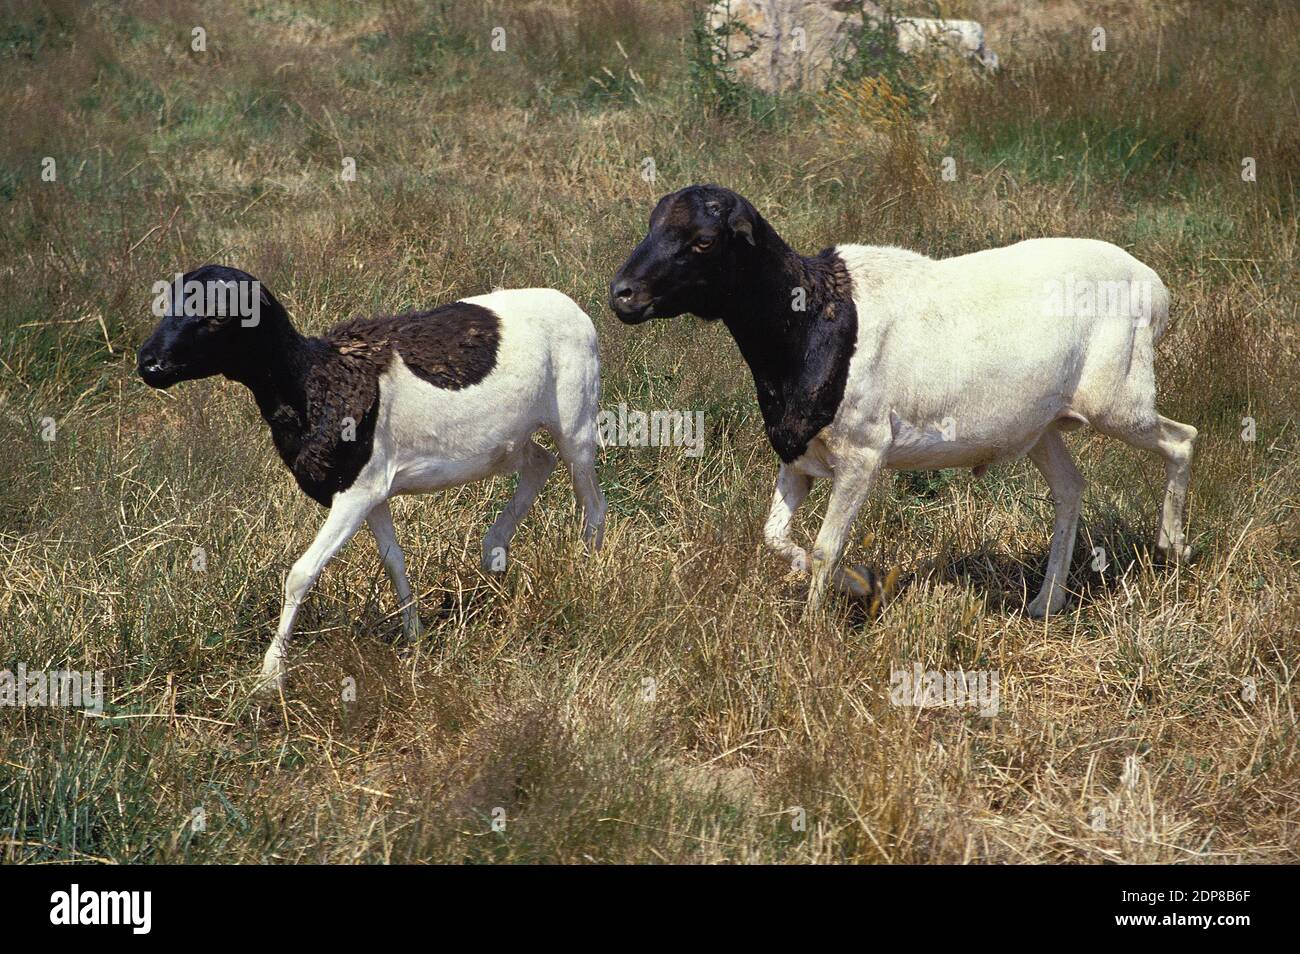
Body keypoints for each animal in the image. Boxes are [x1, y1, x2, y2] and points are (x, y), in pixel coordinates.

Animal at [139, 265, 605, 691]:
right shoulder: (375, 493)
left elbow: (301, 574)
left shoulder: (356, 493)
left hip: (576, 424)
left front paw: (270, 676)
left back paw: (587, 573)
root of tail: (572, 306)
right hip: (512, 443)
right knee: (540, 462)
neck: (314, 379)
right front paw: (415, 637)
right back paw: (493, 557)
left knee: (591, 500)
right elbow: (394, 561)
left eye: (218, 315)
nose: (149, 364)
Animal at [608, 184, 1196, 621]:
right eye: (653, 224)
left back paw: (1173, 549)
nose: (622, 294)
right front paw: (858, 583)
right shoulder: (798, 454)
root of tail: (1154, 285)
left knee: (1182, 440)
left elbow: (824, 547)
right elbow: (775, 537)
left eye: (704, 240)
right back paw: (1045, 604)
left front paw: (812, 629)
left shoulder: (863, 454)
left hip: (1117, 400)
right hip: (1041, 426)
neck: (813, 316)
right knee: (1071, 488)